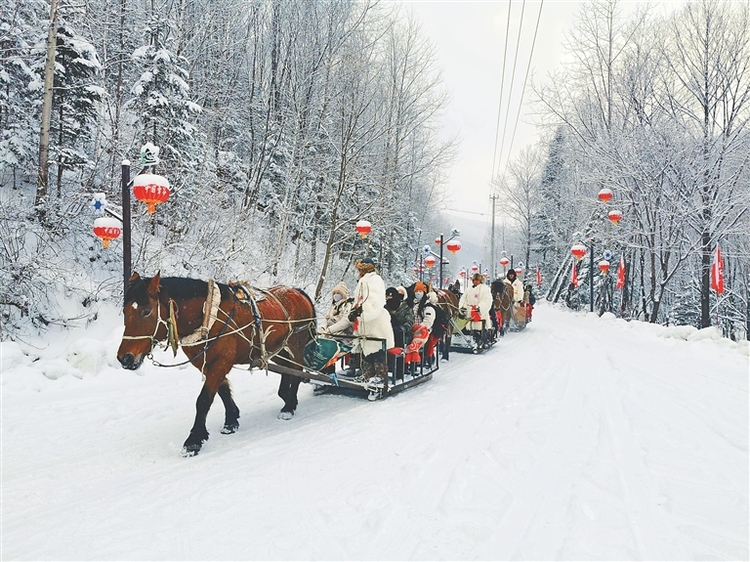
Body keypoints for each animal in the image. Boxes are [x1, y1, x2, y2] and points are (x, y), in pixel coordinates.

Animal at [116, 272, 316, 456]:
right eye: (125, 312)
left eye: (146, 311)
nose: (125, 358)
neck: (207, 316)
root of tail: (298, 292)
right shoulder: (207, 363)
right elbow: (223, 390)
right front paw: (231, 420)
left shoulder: (222, 361)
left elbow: (204, 399)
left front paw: (194, 440)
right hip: (278, 349)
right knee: (288, 370)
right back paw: (285, 396)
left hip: (296, 344)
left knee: (297, 371)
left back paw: (289, 406)